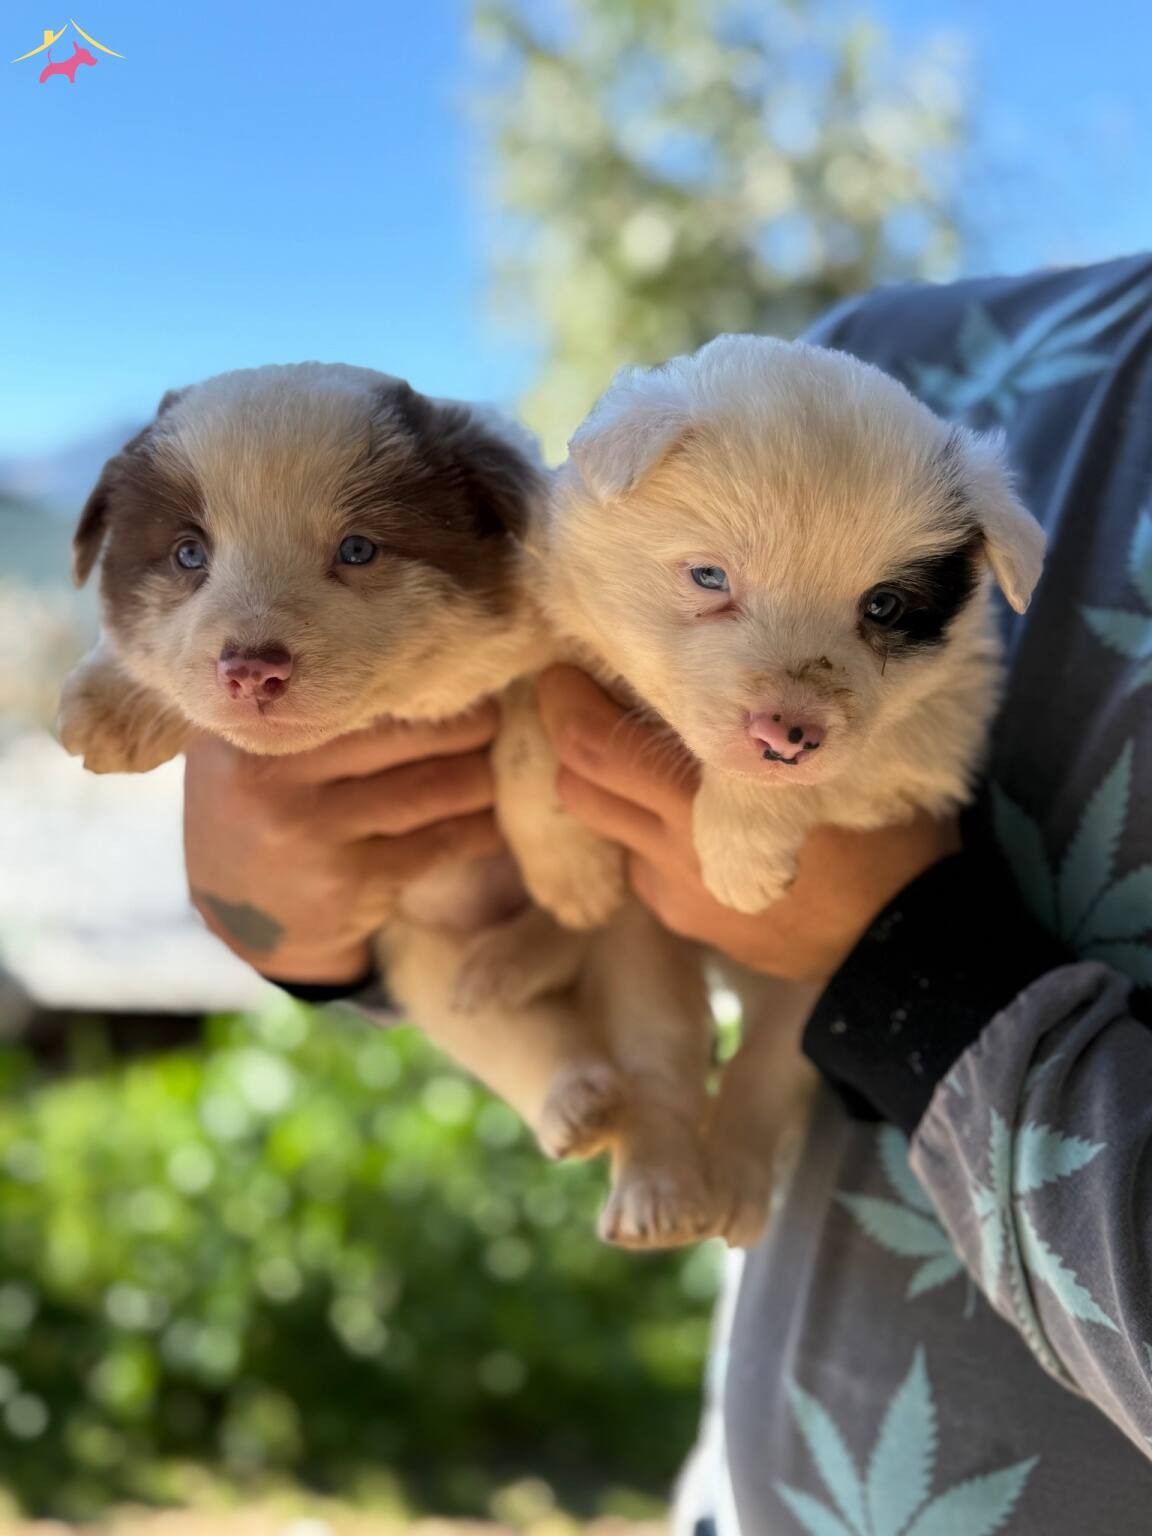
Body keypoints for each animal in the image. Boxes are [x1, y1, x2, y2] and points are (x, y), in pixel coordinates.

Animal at [58, 364, 715, 1249]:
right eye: (189, 554)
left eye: (357, 549)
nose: (251, 669)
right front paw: (104, 704)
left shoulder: (570, 652)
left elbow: (530, 732)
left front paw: (567, 869)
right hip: (423, 961)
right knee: (509, 1035)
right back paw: (571, 1093)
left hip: (642, 947)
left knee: (660, 1058)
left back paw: (655, 1190)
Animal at [534, 334, 1046, 1244]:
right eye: (709, 577)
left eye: (885, 605)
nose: (786, 736)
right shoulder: (562, 637)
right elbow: (520, 729)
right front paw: (565, 863)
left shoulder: (926, 742)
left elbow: (830, 771)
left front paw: (738, 854)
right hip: (642, 957)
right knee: (661, 1054)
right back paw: (660, 1192)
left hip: (806, 998)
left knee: (761, 1073)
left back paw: (732, 1187)